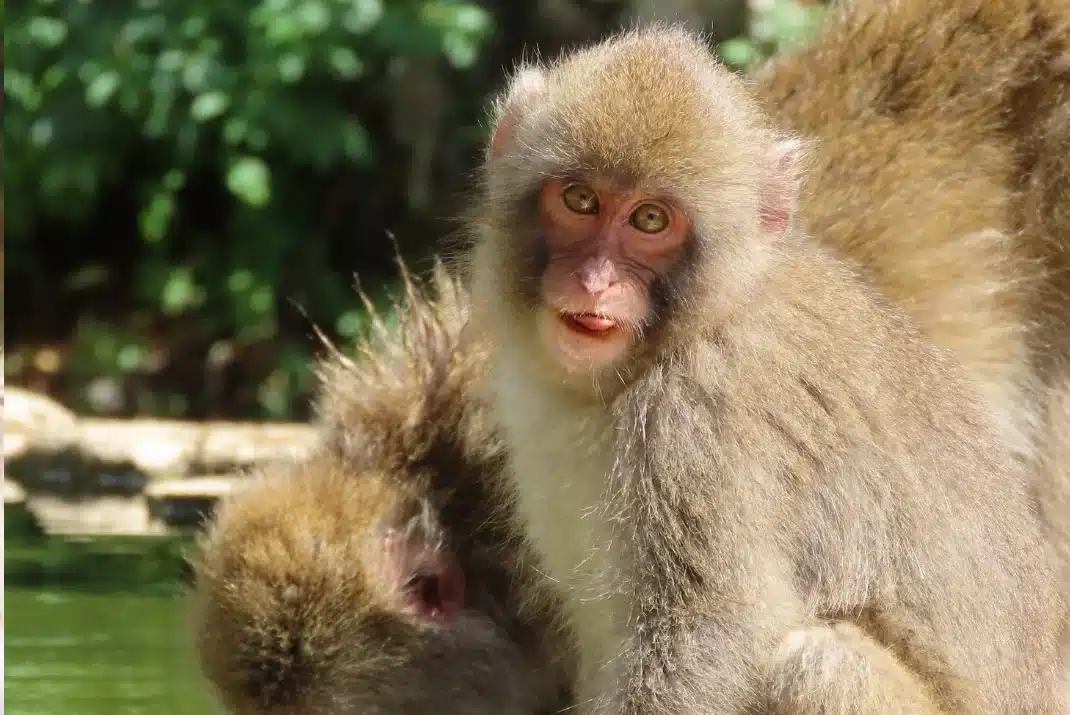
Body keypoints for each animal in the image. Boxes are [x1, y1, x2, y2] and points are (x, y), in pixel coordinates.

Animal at [466, 23, 1067, 715]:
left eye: (650, 220)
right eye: (580, 200)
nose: (595, 282)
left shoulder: (696, 424)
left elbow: (708, 633)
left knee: (817, 664)